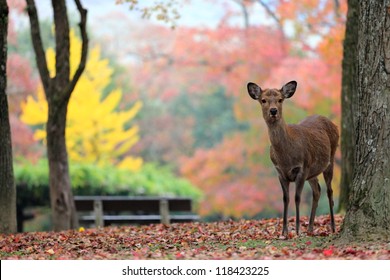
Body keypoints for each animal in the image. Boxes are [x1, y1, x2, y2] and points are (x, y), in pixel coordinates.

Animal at [247, 80, 338, 237]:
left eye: (280, 99)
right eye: (263, 100)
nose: (273, 111)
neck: (286, 158)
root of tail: (334, 124)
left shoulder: (302, 167)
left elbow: (297, 197)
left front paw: (296, 230)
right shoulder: (280, 172)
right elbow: (285, 199)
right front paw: (284, 231)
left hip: (330, 158)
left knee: (329, 191)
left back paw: (332, 227)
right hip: (312, 171)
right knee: (317, 191)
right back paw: (310, 228)